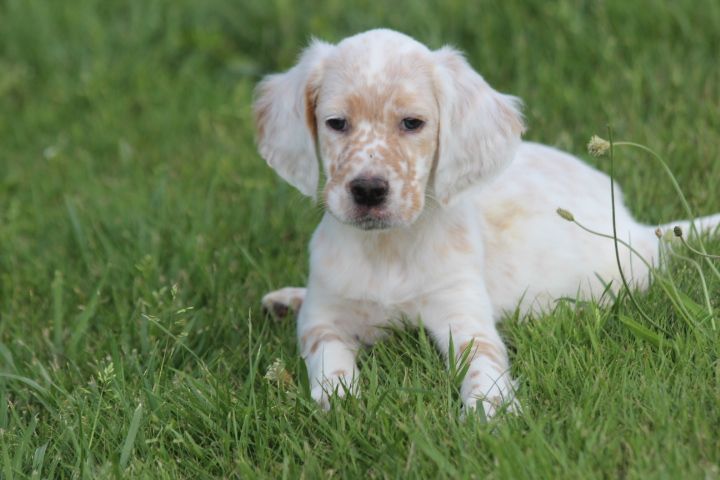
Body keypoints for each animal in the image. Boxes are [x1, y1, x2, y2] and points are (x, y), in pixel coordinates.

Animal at [253, 29, 720, 417]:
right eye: (336, 123)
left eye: (412, 123)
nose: (368, 190)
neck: (389, 248)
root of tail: (637, 230)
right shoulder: (325, 315)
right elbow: (328, 355)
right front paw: (340, 399)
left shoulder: (462, 313)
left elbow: (483, 361)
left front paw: (489, 412)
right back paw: (287, 300)